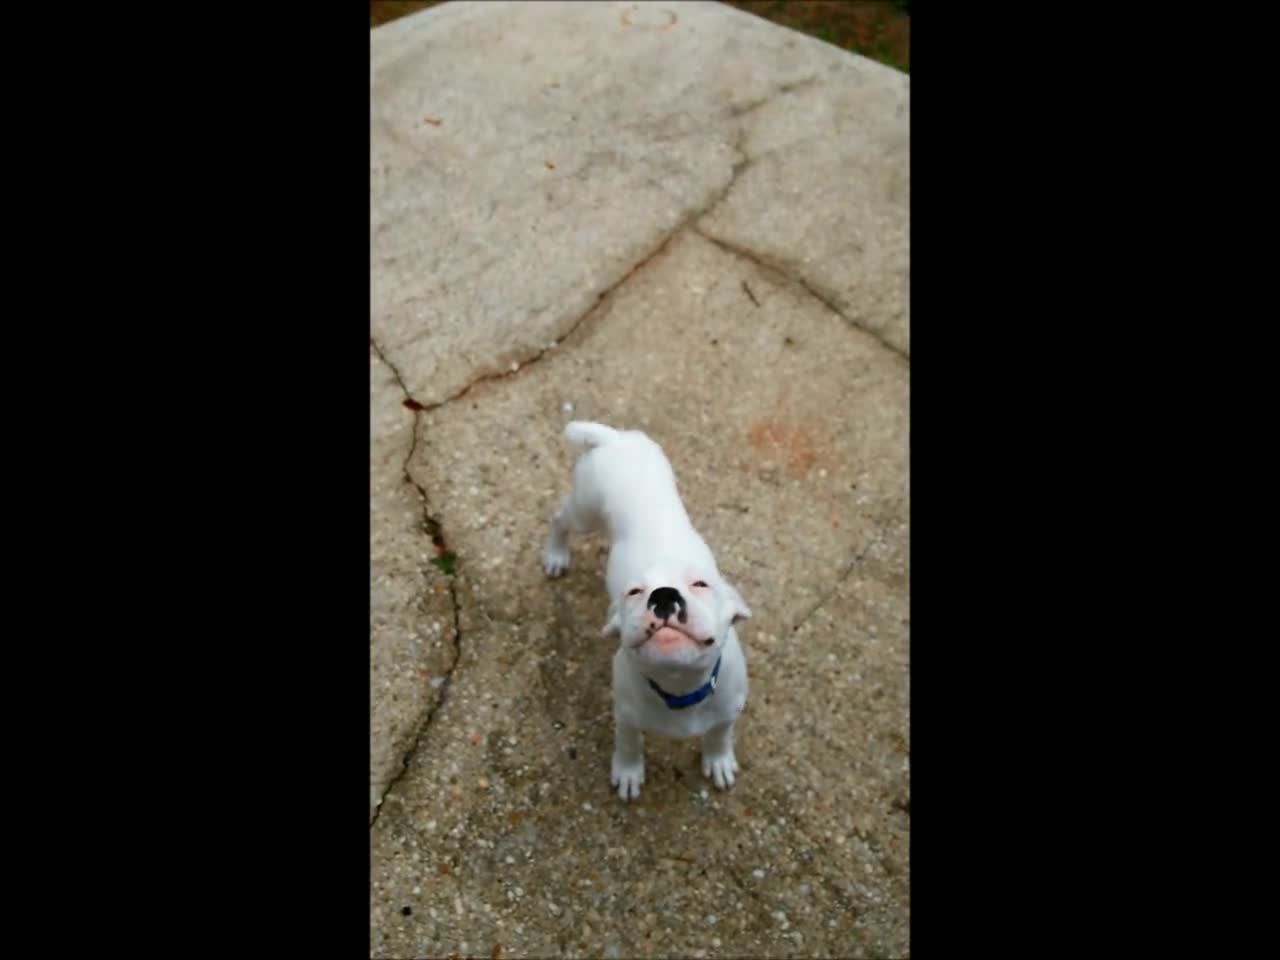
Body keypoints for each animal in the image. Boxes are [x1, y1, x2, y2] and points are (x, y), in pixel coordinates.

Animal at [540, 419, 747, 803]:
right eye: (634, 592)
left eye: (701, 585)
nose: (664, 595)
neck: (678, 686)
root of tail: (612, 438)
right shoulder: (625, 717)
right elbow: (629, 745)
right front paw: (628, 772)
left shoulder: (729, 711)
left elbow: (719, 735)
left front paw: (718, 760)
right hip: (585, 510)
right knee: (559, 519)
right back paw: (555, 554)